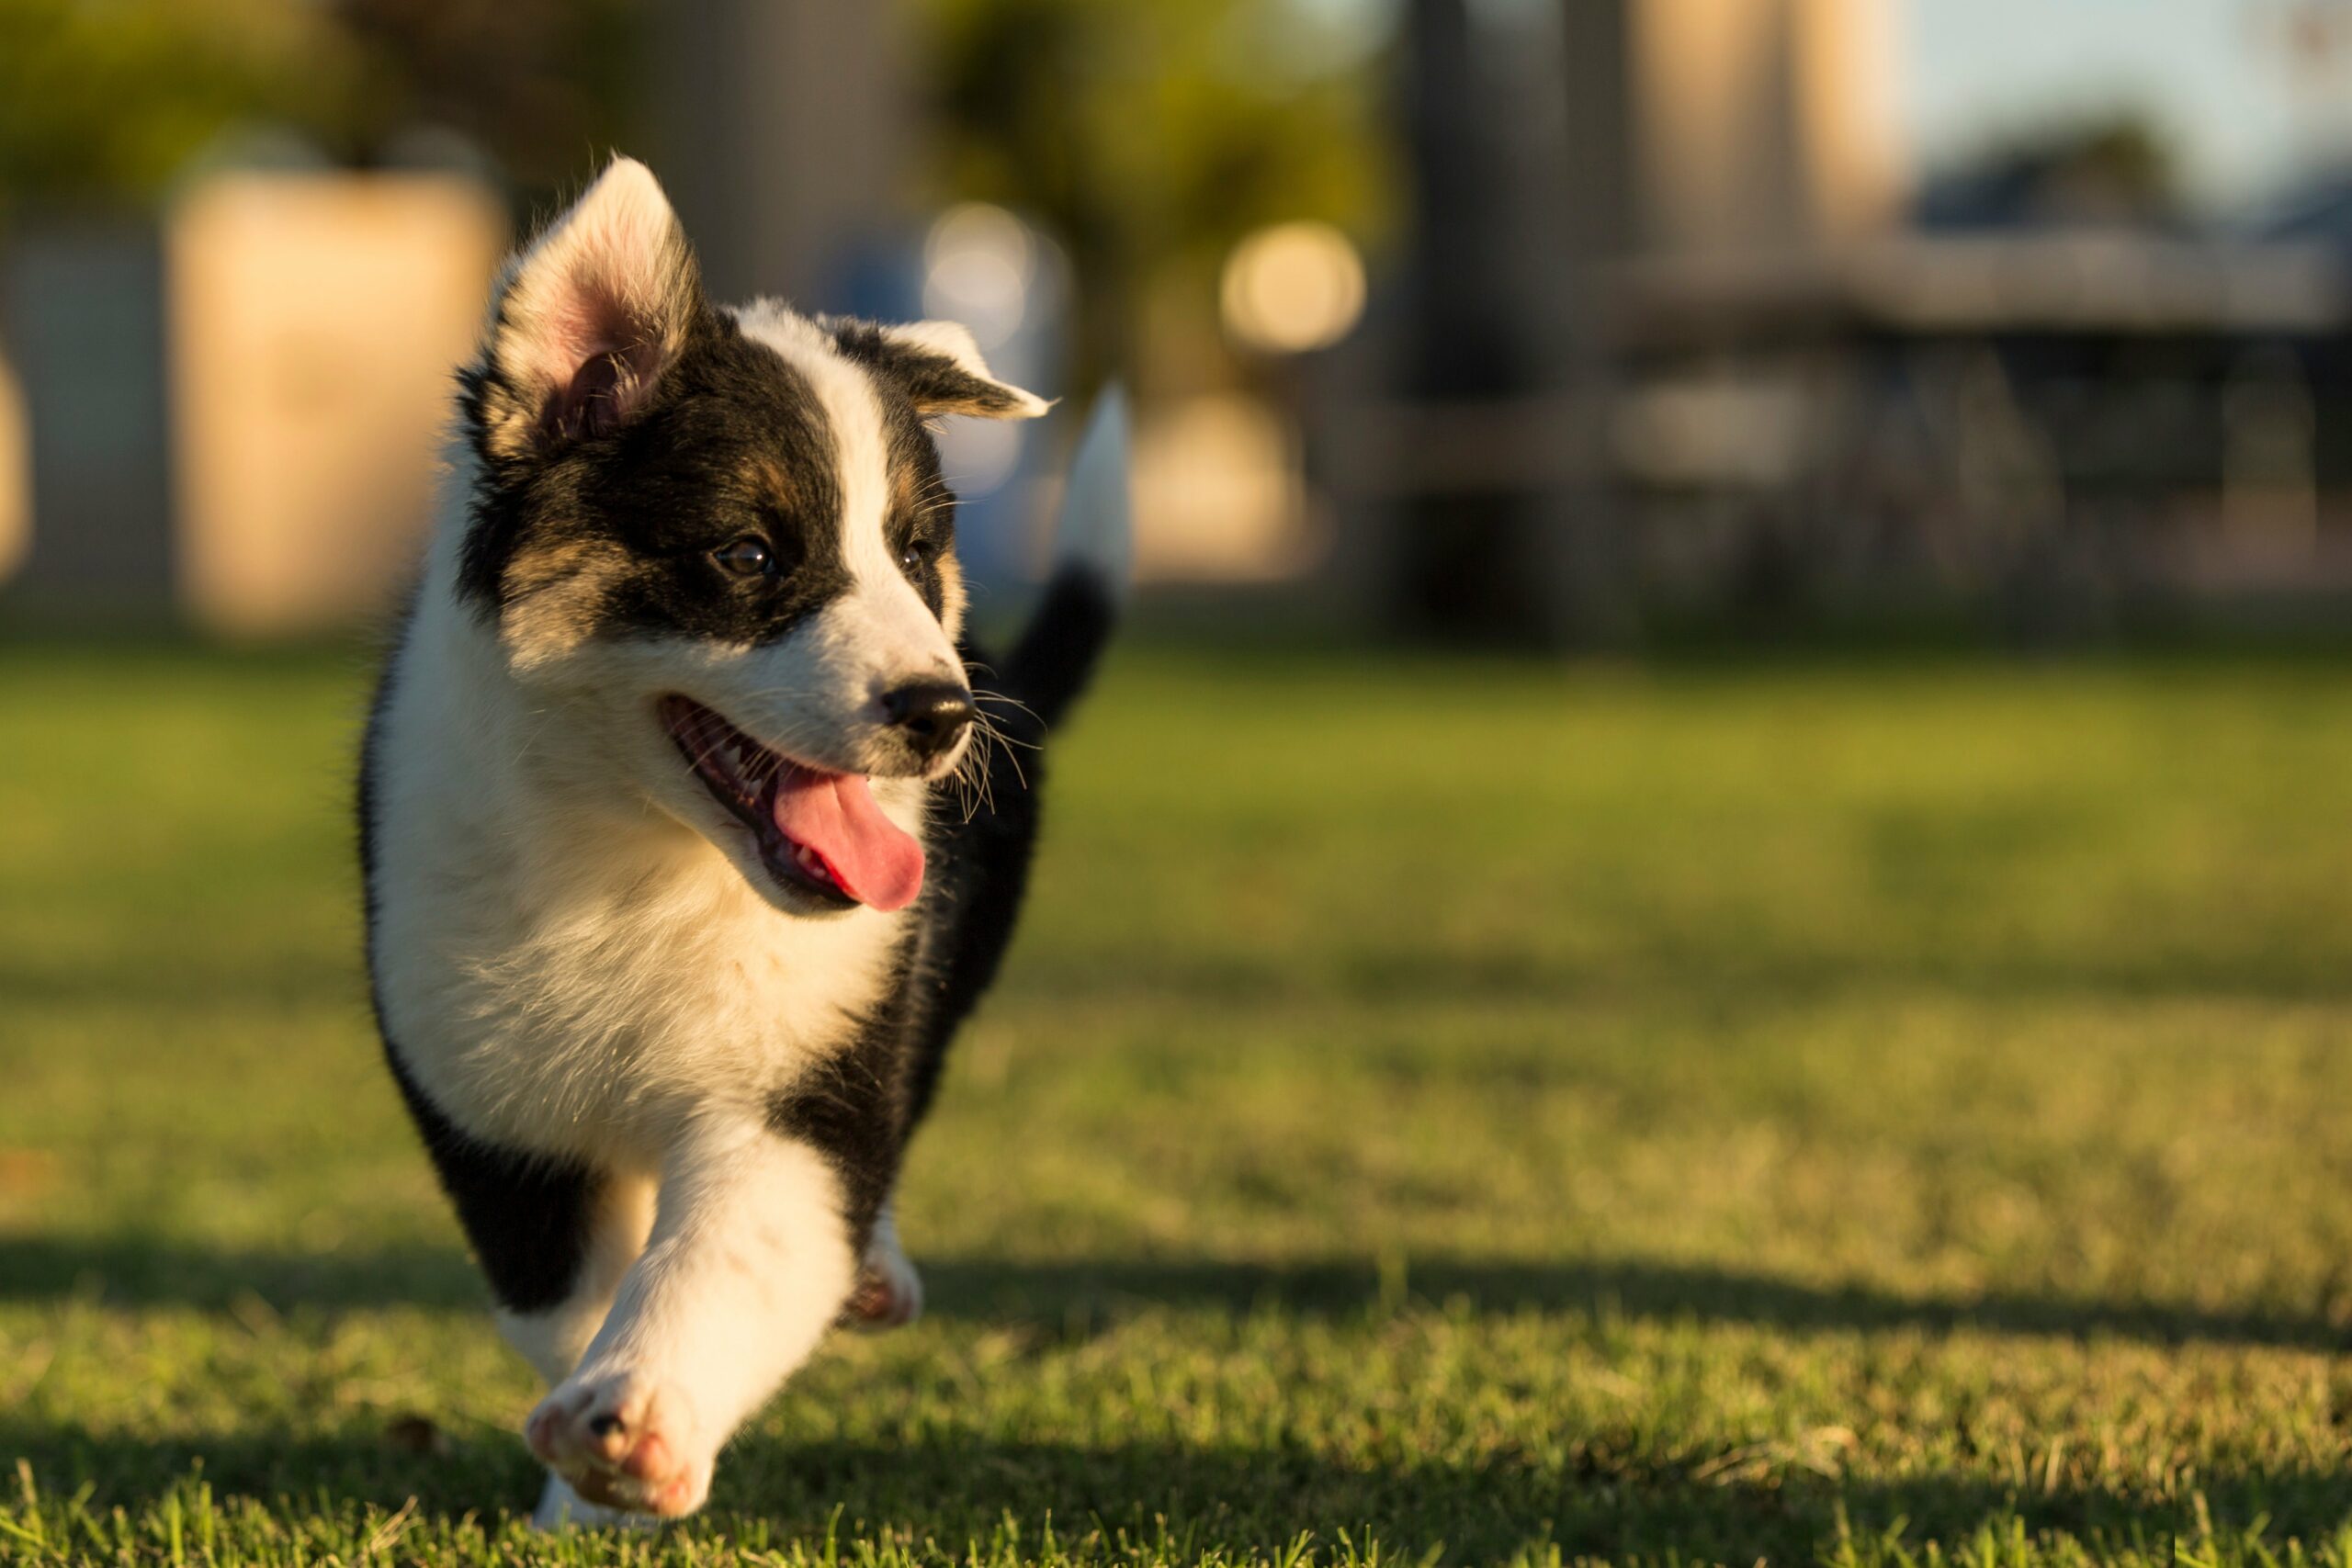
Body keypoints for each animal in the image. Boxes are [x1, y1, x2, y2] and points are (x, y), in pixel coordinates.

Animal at [359, 162, 1128, 1532]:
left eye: (915, 552)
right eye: (749, 554)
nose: (945, 718)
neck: (632, 854)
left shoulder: (806, 1072)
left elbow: (735, 1245)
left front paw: (633, 1418)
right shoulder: (491, 1109)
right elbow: (562, 1302)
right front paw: (592, 1490)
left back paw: (872, 1272)